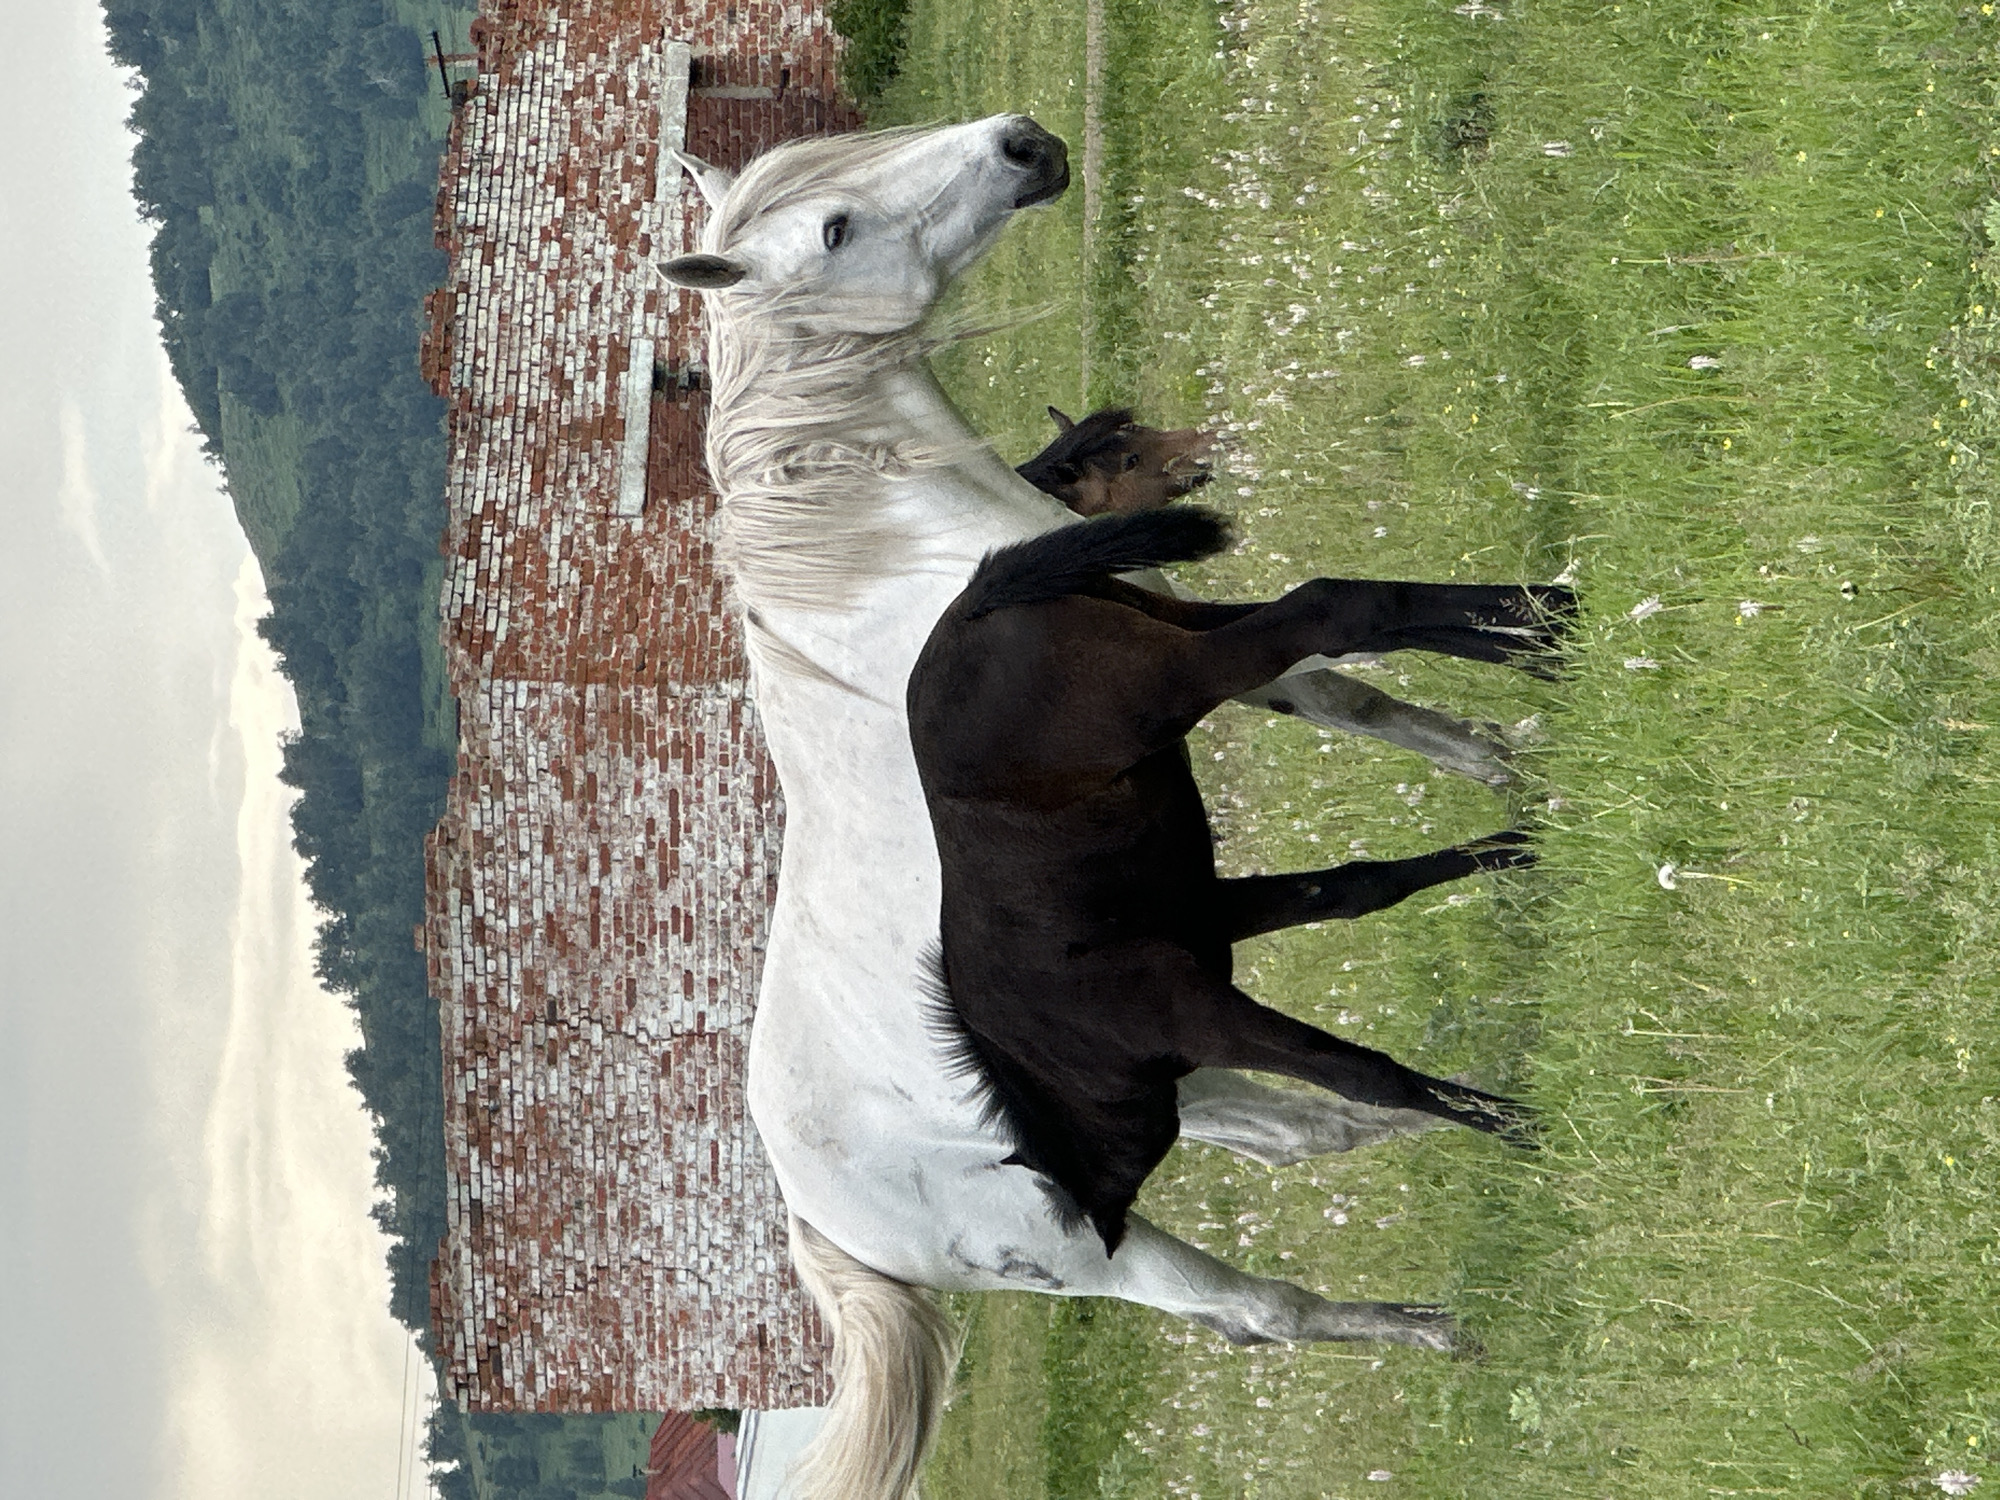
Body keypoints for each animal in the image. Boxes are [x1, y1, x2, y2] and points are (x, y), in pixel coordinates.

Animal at [910, 509, 1563, 1257]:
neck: (1050, 1047)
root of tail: (976, 600)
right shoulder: (1210, 911)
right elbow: (1359, 888)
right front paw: (1521, 846)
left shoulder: (1192, 1011)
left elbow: (1362, 1076)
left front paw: (1524, 1124)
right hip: (1175, 621)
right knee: (1351, 634)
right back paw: (1551, 634)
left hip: (1175, 676)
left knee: (1330, 609)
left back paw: (1552, 625)